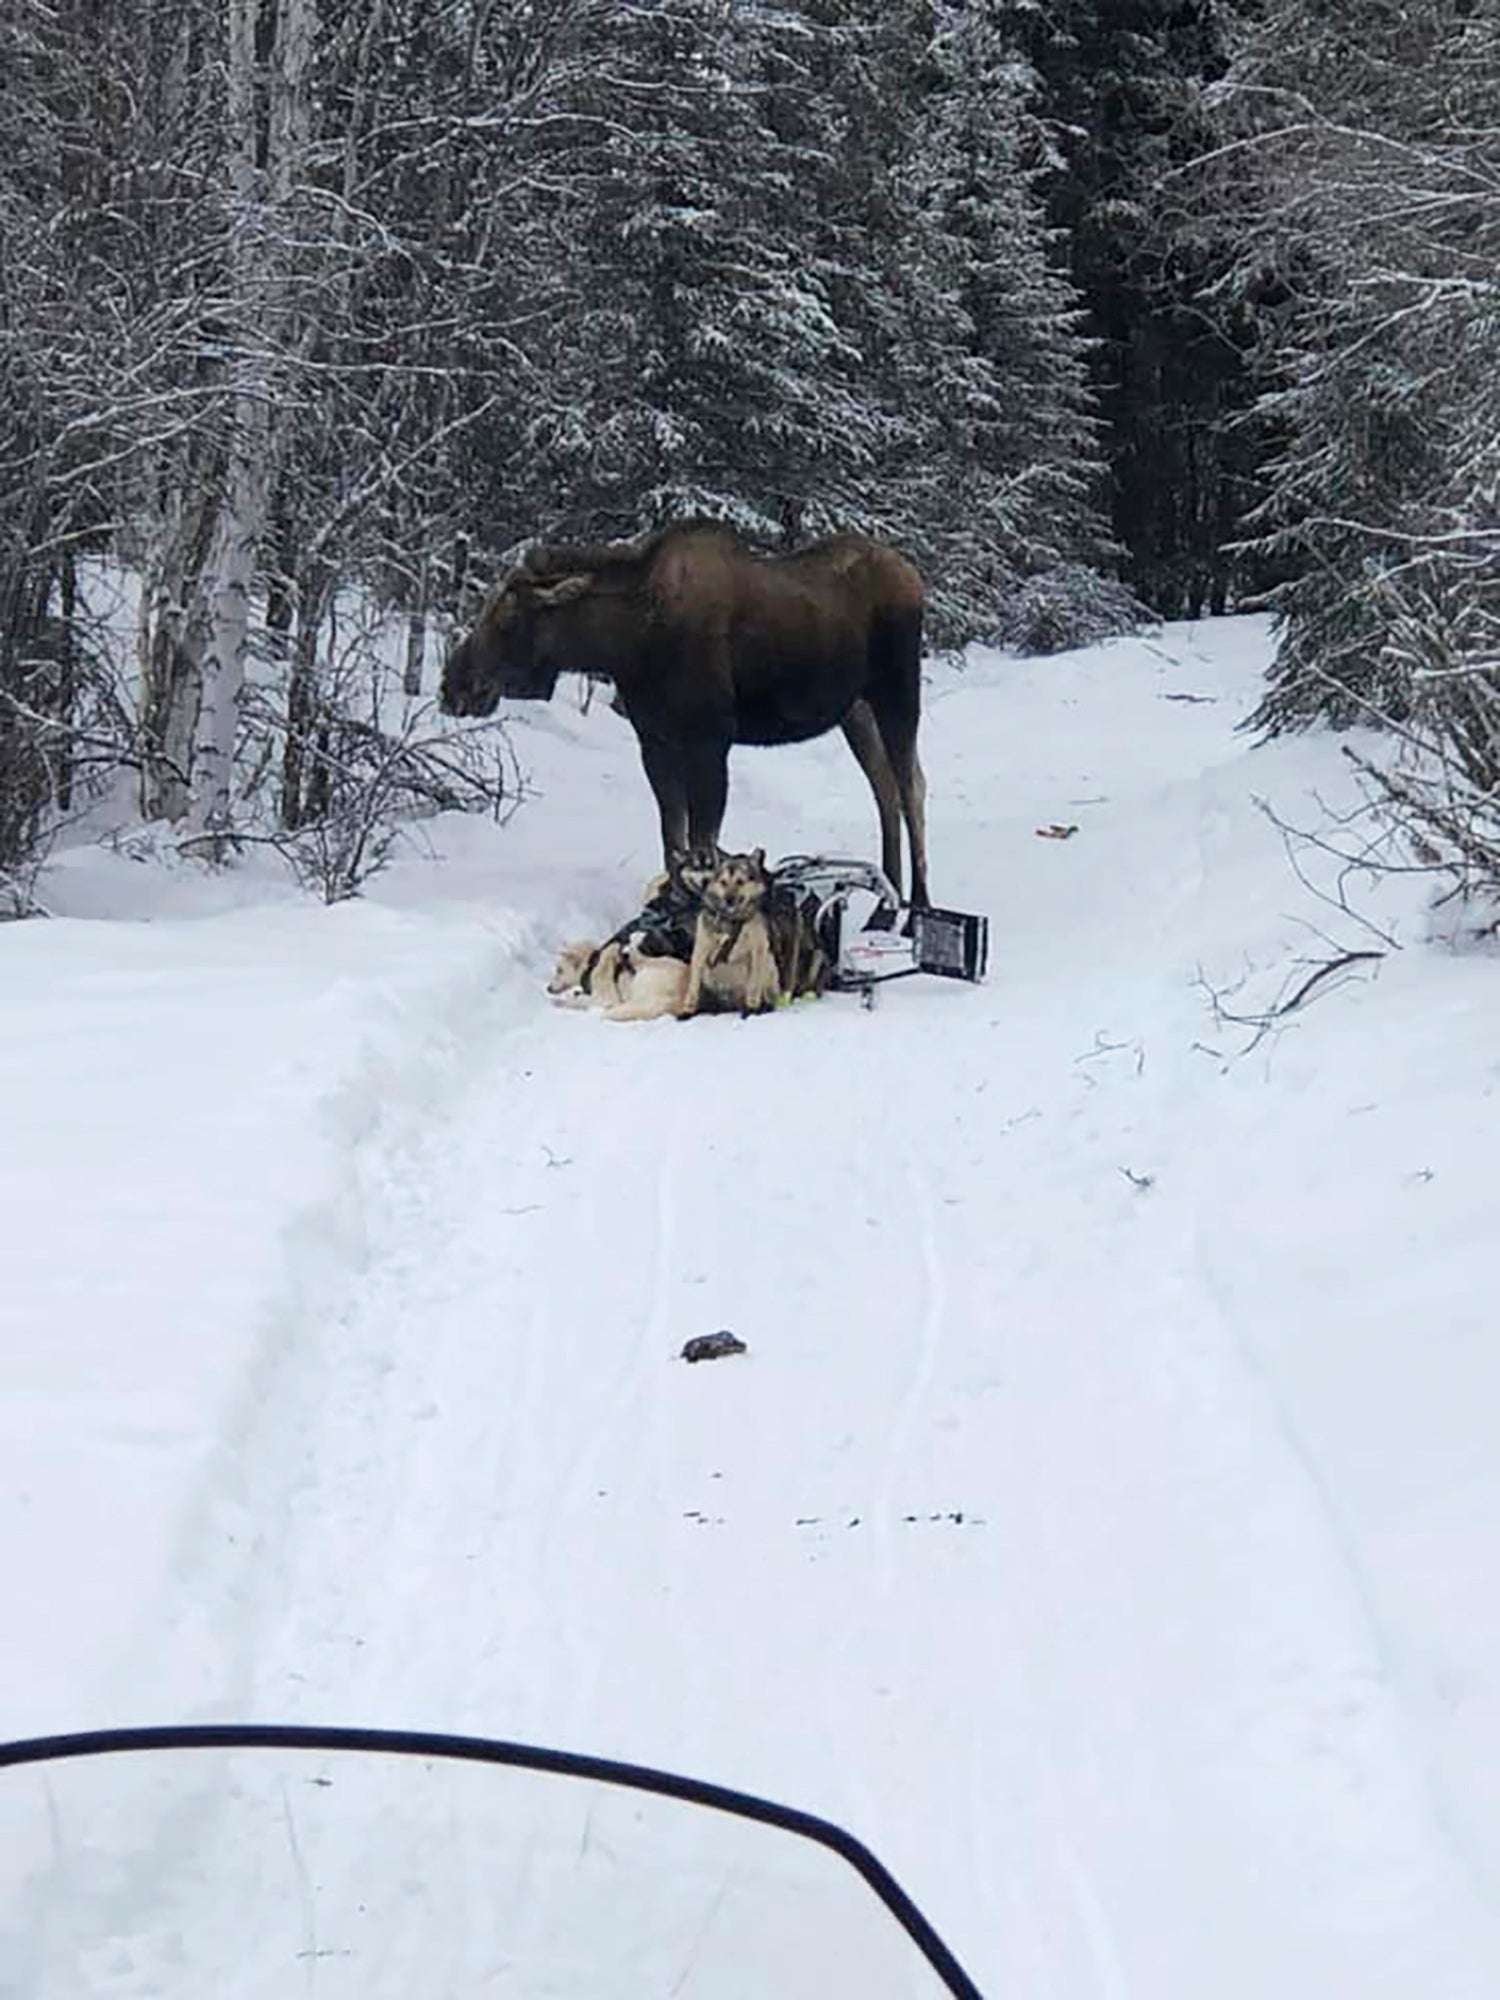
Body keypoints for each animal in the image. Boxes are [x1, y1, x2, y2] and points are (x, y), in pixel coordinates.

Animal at [440, 524, 928, 916]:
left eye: (507, 617)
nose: (453, 685)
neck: (629, 642)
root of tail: (914, 575)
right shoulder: (655, 742)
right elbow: (672, 840)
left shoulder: (710, 743)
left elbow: (700, 844)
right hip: (856, 710)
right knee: (884, 788)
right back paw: (889, 894)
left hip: (897, 692)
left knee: (911, 787)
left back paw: (918, 905)